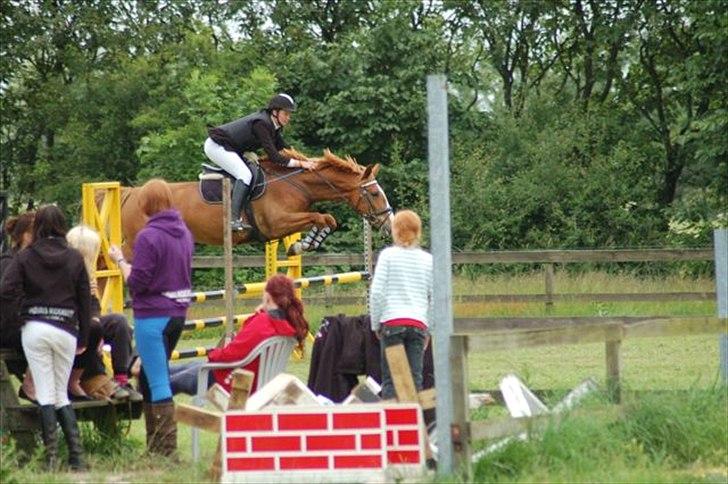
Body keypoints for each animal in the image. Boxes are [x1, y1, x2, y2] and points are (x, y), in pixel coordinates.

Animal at [115, 149, 392, 260]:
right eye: (375, 193)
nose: (389, 223)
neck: (293, 183)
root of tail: (132, 193)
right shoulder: (277, 223)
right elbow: (321, 217)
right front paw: (303, 244)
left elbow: (328, 220)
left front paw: (304, 245)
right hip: (136, 242)